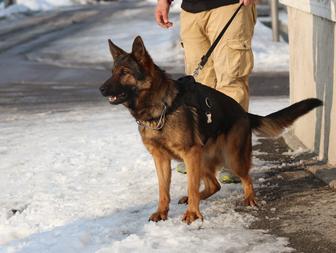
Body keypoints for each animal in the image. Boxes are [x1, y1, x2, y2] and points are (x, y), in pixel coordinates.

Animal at [100, 35, 322, 223]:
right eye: (112, 73)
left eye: (124, 73)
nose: (101, 89)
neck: (161, 107)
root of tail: (244, 113)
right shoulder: (161, 159)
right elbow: (163, 191)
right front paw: (162, 213)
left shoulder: (189, 153)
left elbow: (191, 185)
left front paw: (192, 214)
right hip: (203, 158)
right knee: (214, 185)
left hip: (230, 158)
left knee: (244, 178)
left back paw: (249, 198)